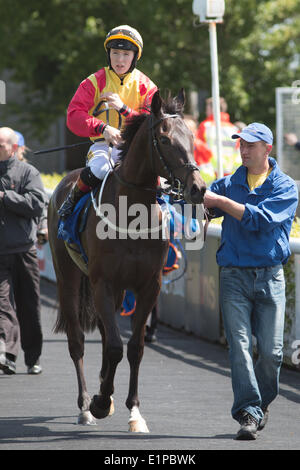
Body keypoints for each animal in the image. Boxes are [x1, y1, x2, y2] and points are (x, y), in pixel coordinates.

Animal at [47, 90, 206, 432]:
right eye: (165, 138)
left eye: (191, 136)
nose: (198, 188)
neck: (132, 211)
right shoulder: (102, 282)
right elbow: (115, 347)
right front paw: (99, 401)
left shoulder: (148, 285)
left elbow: (134, 347)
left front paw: (133, 411)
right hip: (68, 277)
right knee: (77, 341)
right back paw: (85, 406)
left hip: (118, 291)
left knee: (107, 335)